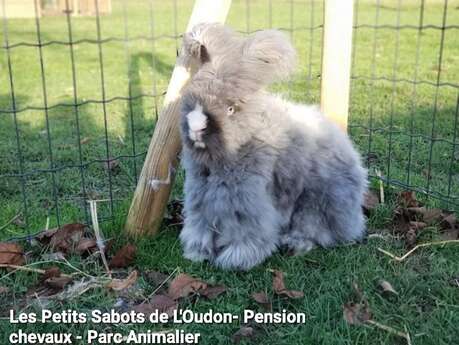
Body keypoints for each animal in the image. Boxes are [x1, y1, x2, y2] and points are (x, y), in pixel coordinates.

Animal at [178, 24, 368, 270]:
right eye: (192, 99)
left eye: (230, 109)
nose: (196, 127)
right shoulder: (201, 196)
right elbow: (201, 225)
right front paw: (197, 253)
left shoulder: (246, 201)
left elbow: (246, 231)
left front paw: (236, 259)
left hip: (317, 201)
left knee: (318, 229)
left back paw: (294, 243)